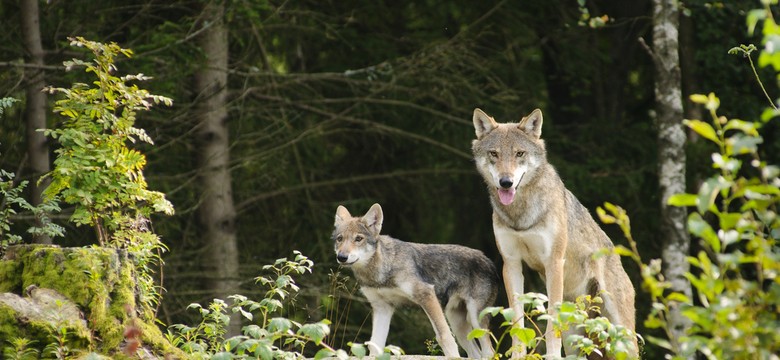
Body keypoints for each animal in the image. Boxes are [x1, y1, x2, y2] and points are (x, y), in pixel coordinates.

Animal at [332, 204, 496, 358]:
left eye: (358, 239)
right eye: (340, 239)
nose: (342, 257)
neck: (380, 272)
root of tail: (488, 260)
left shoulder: (426, 294)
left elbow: (444, 337)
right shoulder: (382, 307)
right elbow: (375, 344)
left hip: (475, 319)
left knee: (489, 351)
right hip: (457, 324)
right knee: (476, 354)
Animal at [472, 108, 636, 358]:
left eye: (519, 153)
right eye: (494, 154)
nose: (506, 182)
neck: (521, 214)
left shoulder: (554, 262)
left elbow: (550, 322)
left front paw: (550, 355)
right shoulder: (511, 264)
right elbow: (517, 320)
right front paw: (518, 355)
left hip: (621, 337)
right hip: (578, 336)